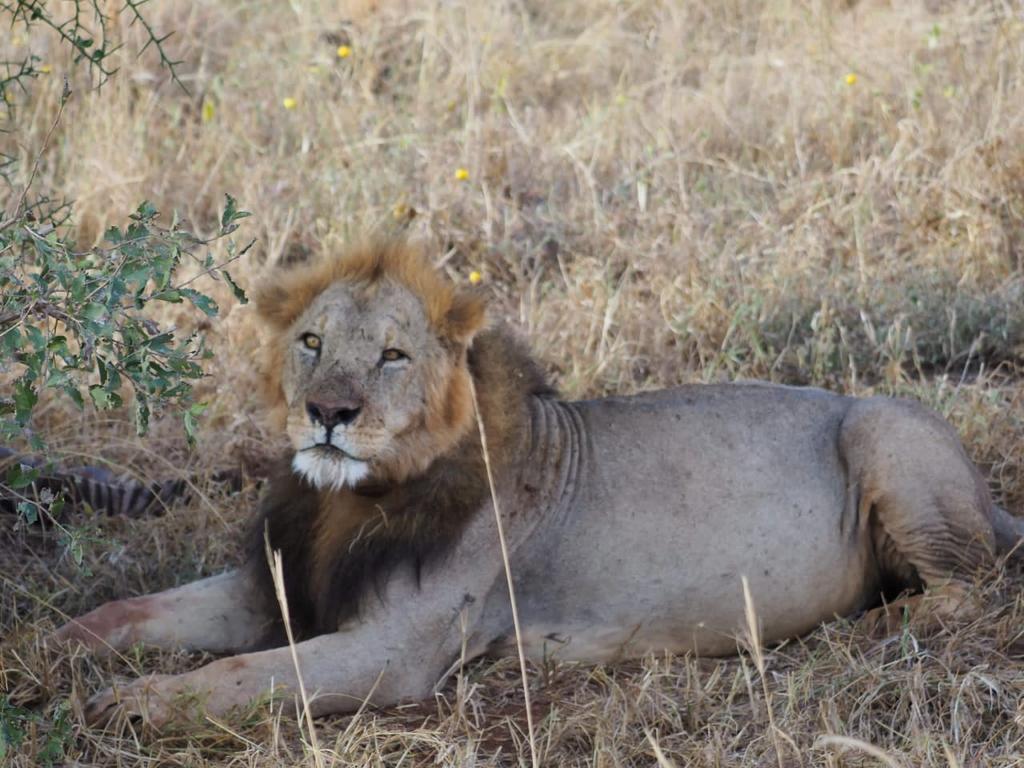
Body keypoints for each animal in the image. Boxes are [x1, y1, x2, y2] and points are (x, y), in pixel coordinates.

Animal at [56, 241, 1024, 727]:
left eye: (393, 355)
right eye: (311, 343)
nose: (329, 411)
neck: (345, 500)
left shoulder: (395, 652)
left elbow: (241, 676)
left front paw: (130, 706)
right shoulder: (277, 582)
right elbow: (131, 611)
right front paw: (56, 644)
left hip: (884, 429)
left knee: (971, 588)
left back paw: (869, 625)